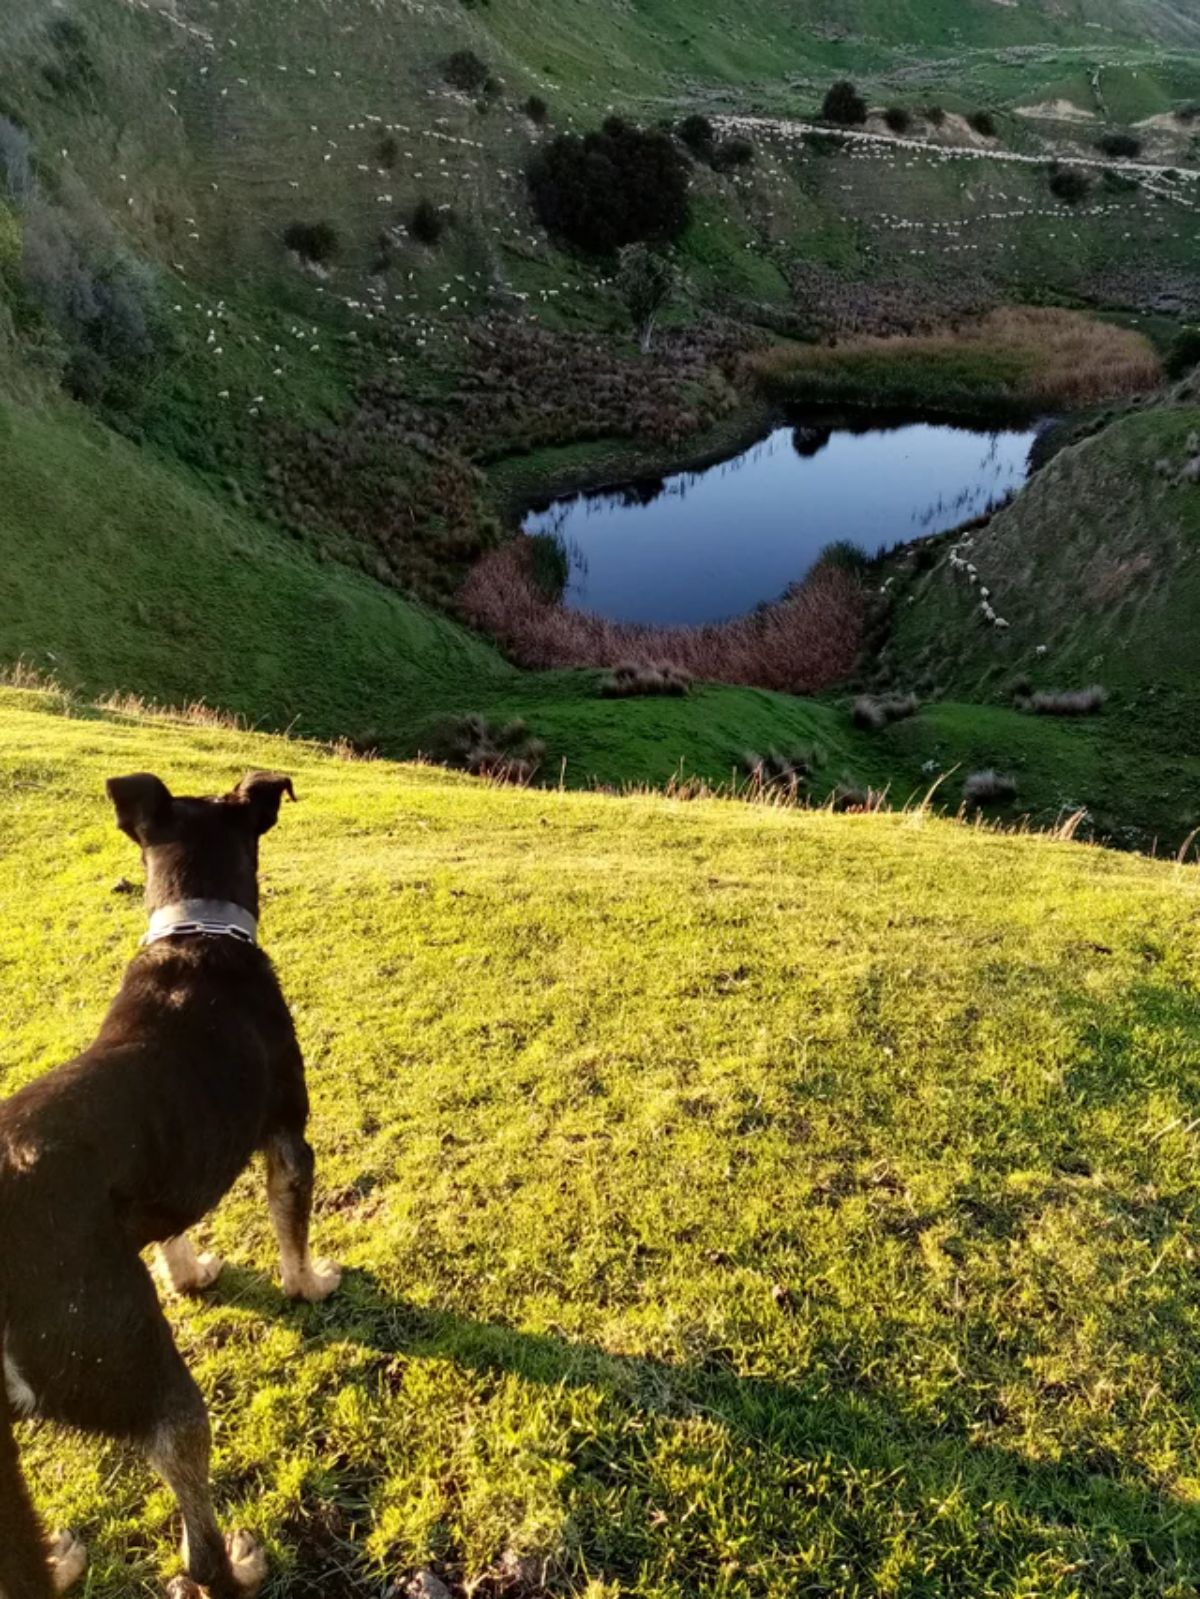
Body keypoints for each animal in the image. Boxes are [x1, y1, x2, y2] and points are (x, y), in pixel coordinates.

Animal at [1, 767, 339, 1592]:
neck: (198, 932)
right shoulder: (289, 1137)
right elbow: (292, 1233)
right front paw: (310, 1283)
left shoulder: (164, 1171)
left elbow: (174, 1233)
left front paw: (189, 1275)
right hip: (139, 1367)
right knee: (199, 1538)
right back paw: (241, 1566)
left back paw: (59, 1562)